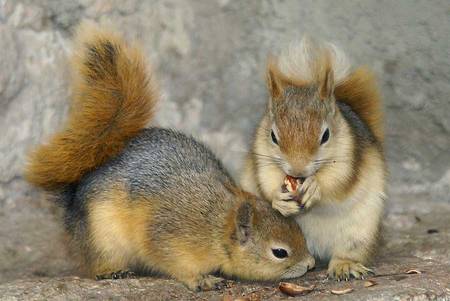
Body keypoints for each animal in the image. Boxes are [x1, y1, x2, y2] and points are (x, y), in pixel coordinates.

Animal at [23, 23, 312, 290]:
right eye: (279, 252)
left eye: (300, 231)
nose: (310, 264)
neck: (217, 222)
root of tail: (73, 197)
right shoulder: (168, 237)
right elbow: (170, 261)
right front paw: (200, 279)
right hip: (102, 236)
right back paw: (111, 271)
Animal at [241, 37, 384, 278]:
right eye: (273, 136)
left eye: (325, 135)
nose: (297, 171)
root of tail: (316, 249)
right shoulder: (261, 156)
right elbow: (266, 181)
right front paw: (278, 199)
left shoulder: (348, 156)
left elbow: (337, 182)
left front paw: (315, 187)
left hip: (359, 233)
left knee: (349, 251)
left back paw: (344, 266)